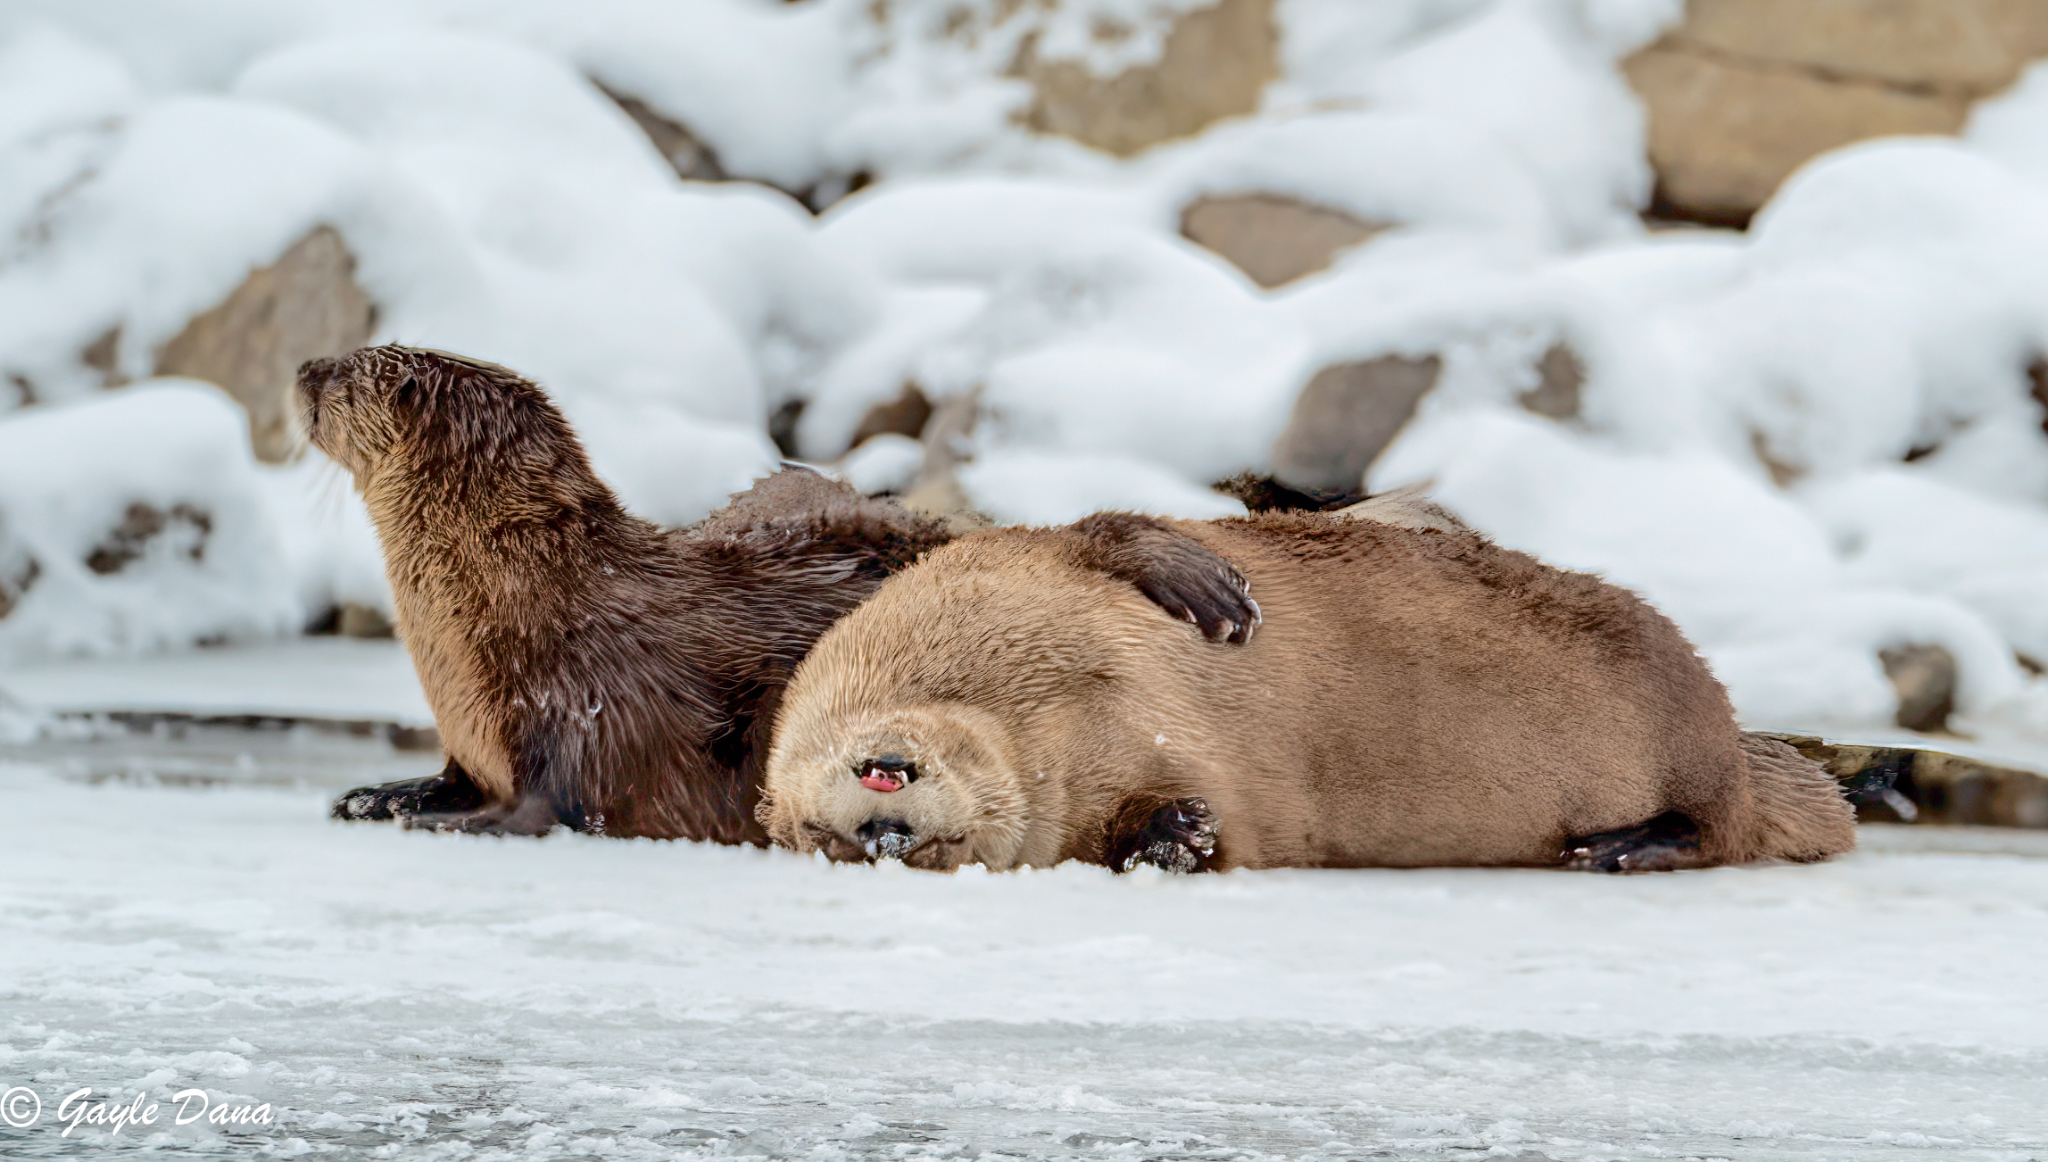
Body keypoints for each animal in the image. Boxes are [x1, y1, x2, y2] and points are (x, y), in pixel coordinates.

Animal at [306, 345, 1260, 839]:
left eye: (345, 371)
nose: (303, 368)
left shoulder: (577, 703)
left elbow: (557, 800)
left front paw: (452, 824)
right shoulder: (472, 738)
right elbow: (451, 776)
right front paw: (382, 796)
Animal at [760, 511, 1857, 872]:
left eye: (860, 793)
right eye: (819, 837)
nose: (880, 831)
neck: (1036, 703)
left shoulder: (1008, 557)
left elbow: (1112, 530)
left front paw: (1205, 590)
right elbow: (1209, 833)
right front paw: (1175, 831)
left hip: (1674, 689)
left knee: (1725, 818)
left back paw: (1625, 845)